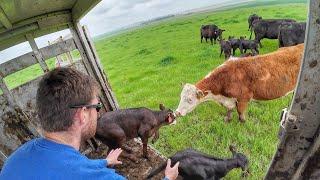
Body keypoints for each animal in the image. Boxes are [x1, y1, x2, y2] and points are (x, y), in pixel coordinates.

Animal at [176, 43, 304, 122]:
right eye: (180, 97)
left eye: (190, 100)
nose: (177, 113)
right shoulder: (229, 101)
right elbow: (229, 112)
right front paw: (227, 120)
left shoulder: (243, 98)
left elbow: (241, 114)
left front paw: (242, 123)